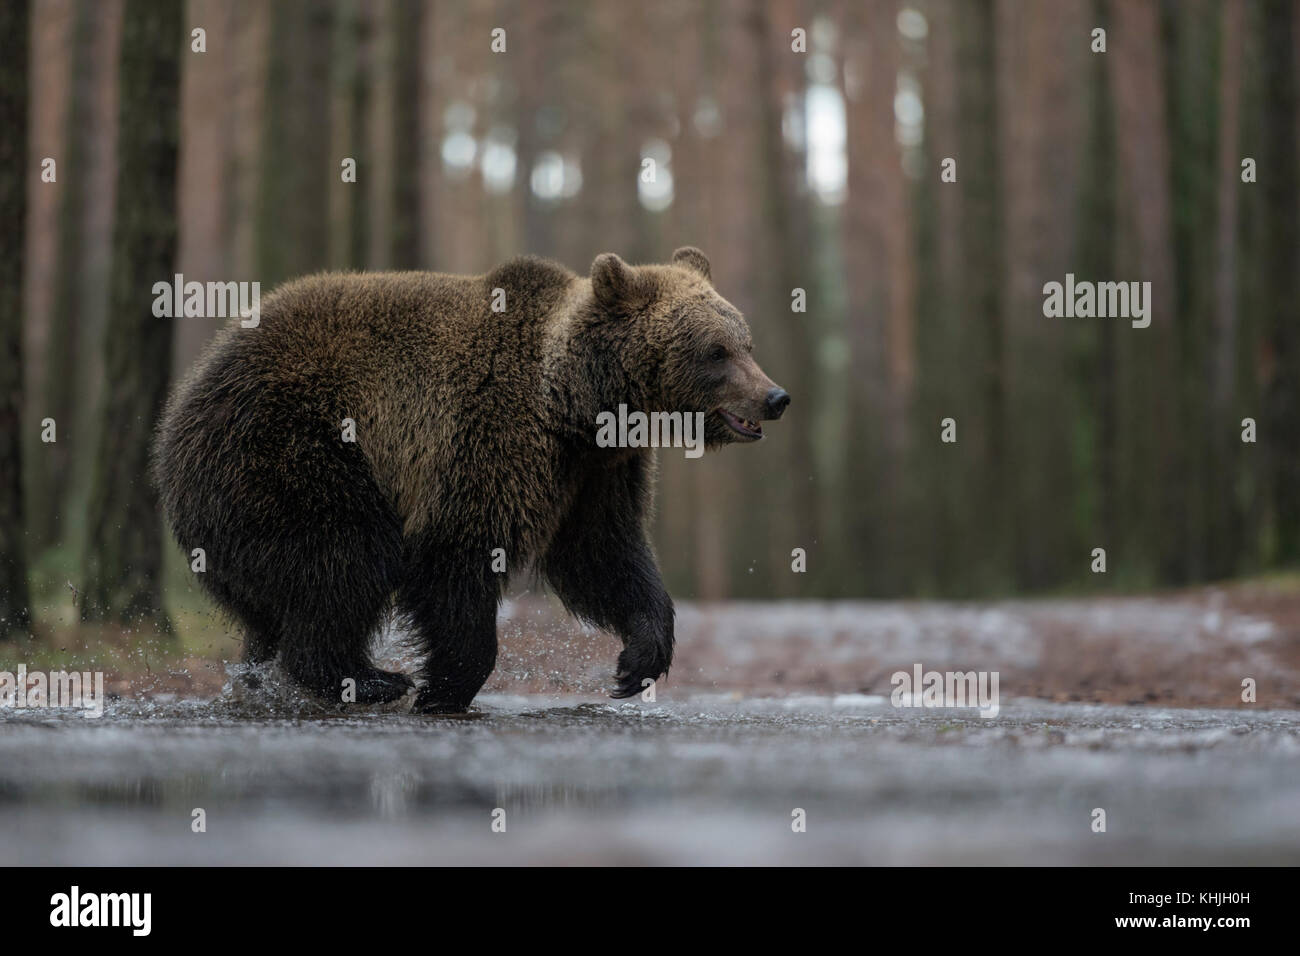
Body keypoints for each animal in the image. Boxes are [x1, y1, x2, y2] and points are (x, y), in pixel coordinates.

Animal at [152, 247, 790, 713]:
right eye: (716, 351)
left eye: (746, 342)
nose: (775, 396)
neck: (578, 407)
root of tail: (177, 411)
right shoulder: (488, 438)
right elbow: (456, 558)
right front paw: (444, 687)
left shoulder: (594, 472)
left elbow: (604, 555)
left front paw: (636, 663)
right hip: (288, 451)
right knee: (344, 553)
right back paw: (372, 679)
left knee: (275, 602)